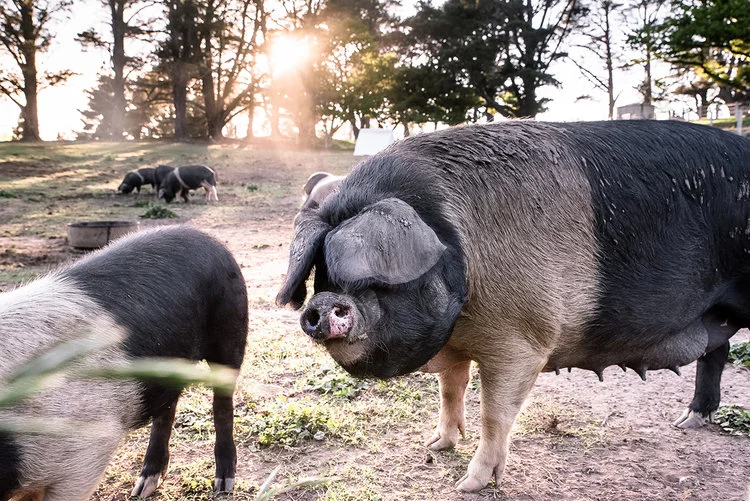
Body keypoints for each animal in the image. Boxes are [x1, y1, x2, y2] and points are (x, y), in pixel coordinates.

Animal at [0, 225, 248, 500]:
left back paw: (223, 485)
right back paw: (143, 488)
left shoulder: (84, 451)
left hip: (231, 326)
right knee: (167, 408)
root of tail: (207, 236)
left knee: (222, 402)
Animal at [277, 120, 750, 492]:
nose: (323, 303)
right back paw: (689, 421)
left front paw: (467, 485)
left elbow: (495, 413)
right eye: (324, 274)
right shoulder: (455, 341)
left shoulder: (522, 340)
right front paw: (435, 445)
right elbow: (451, 389)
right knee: (717, 350)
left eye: (375, 277)